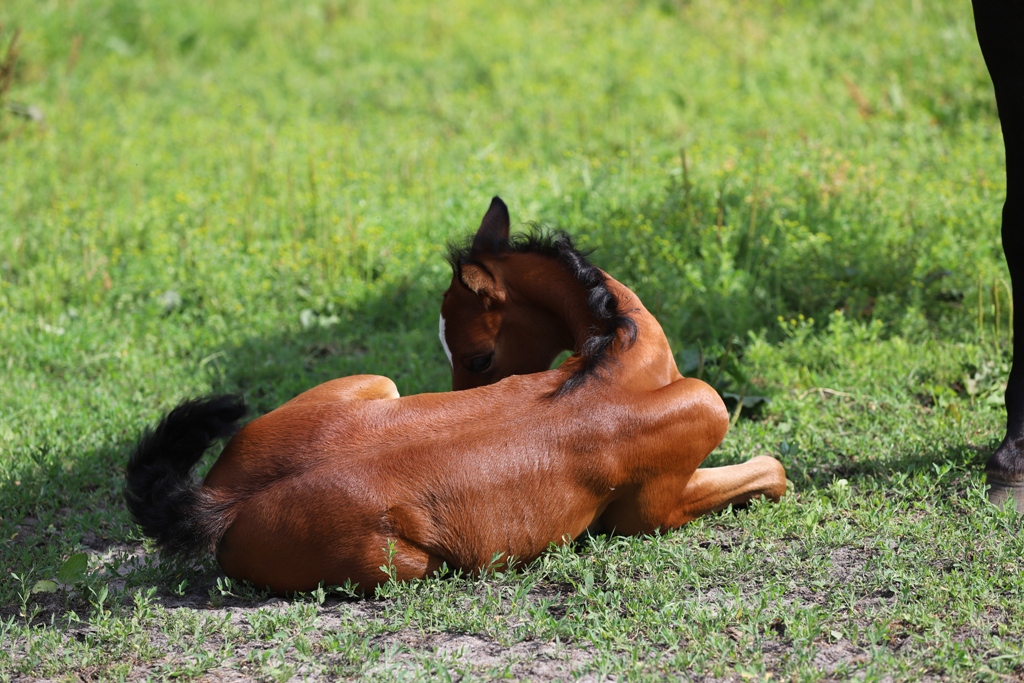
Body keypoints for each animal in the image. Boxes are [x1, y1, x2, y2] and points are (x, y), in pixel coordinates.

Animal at [124, 197, 787, 594]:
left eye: (477, 357)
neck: (617, 362)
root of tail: (218, 502)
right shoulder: (657, 507)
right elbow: (771, 470)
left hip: (375, 386)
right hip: (411, 563)